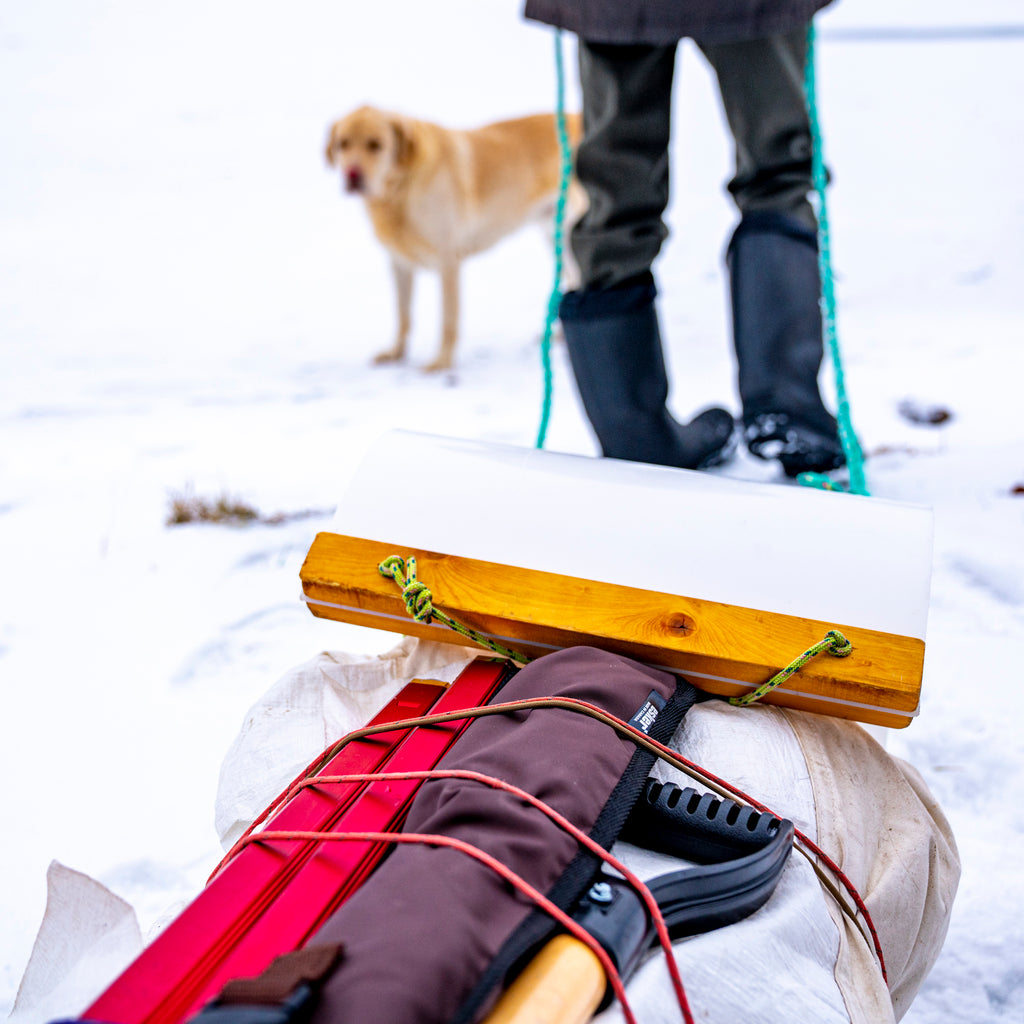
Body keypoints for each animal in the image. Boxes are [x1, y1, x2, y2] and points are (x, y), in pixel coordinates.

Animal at [325, 103, 585, 374]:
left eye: (376, 145)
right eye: (343, 144)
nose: (352, 174)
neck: (403, 187)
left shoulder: (448, 261)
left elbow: (447, 321)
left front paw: (442, 362)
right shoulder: (399, 263)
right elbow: (403, 316)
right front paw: (396, 352)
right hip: (556, 234)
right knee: (574, 279)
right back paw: (560, 335)